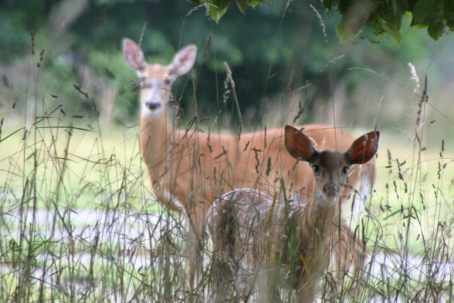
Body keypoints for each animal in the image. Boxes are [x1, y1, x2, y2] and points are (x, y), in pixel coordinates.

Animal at [207, 125, 378, 302]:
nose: (330, 189)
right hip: (222, 254)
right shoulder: (269, 270)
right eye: (315, 167)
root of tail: (214, 205)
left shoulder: (311, 280)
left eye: (345, 168)